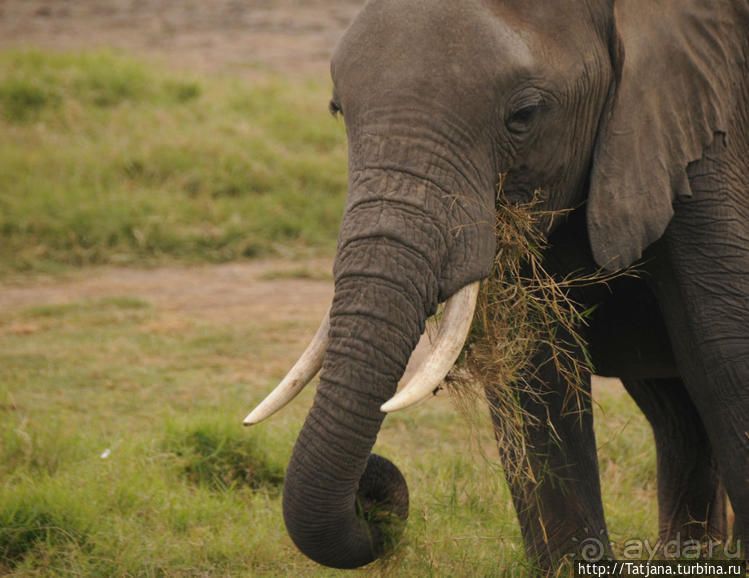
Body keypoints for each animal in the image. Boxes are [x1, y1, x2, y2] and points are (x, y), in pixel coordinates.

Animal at [243, 0, 744, 568]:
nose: (371, 497)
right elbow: (534, 374)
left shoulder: (703, 130)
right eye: (336, 110)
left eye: (523, 116)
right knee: (674, 413)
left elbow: (726, 358)